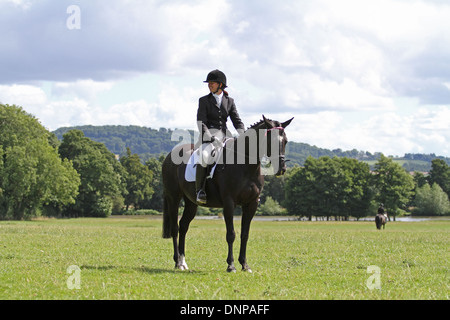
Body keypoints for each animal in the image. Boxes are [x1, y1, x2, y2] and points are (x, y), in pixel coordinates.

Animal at [161, 115, 292, 272]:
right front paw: (231, 265)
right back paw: (178, 263)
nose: (282, 169)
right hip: (173, 198)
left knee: (183, 226)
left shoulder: (251, 204)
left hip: (191, 203)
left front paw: (245, 265)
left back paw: (183, 261)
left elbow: (245, 234)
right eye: (270, 140)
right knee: (175, 228)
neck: (246, 165)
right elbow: (231, 234)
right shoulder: (229, 203)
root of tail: (170, 155)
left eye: (285, 141)